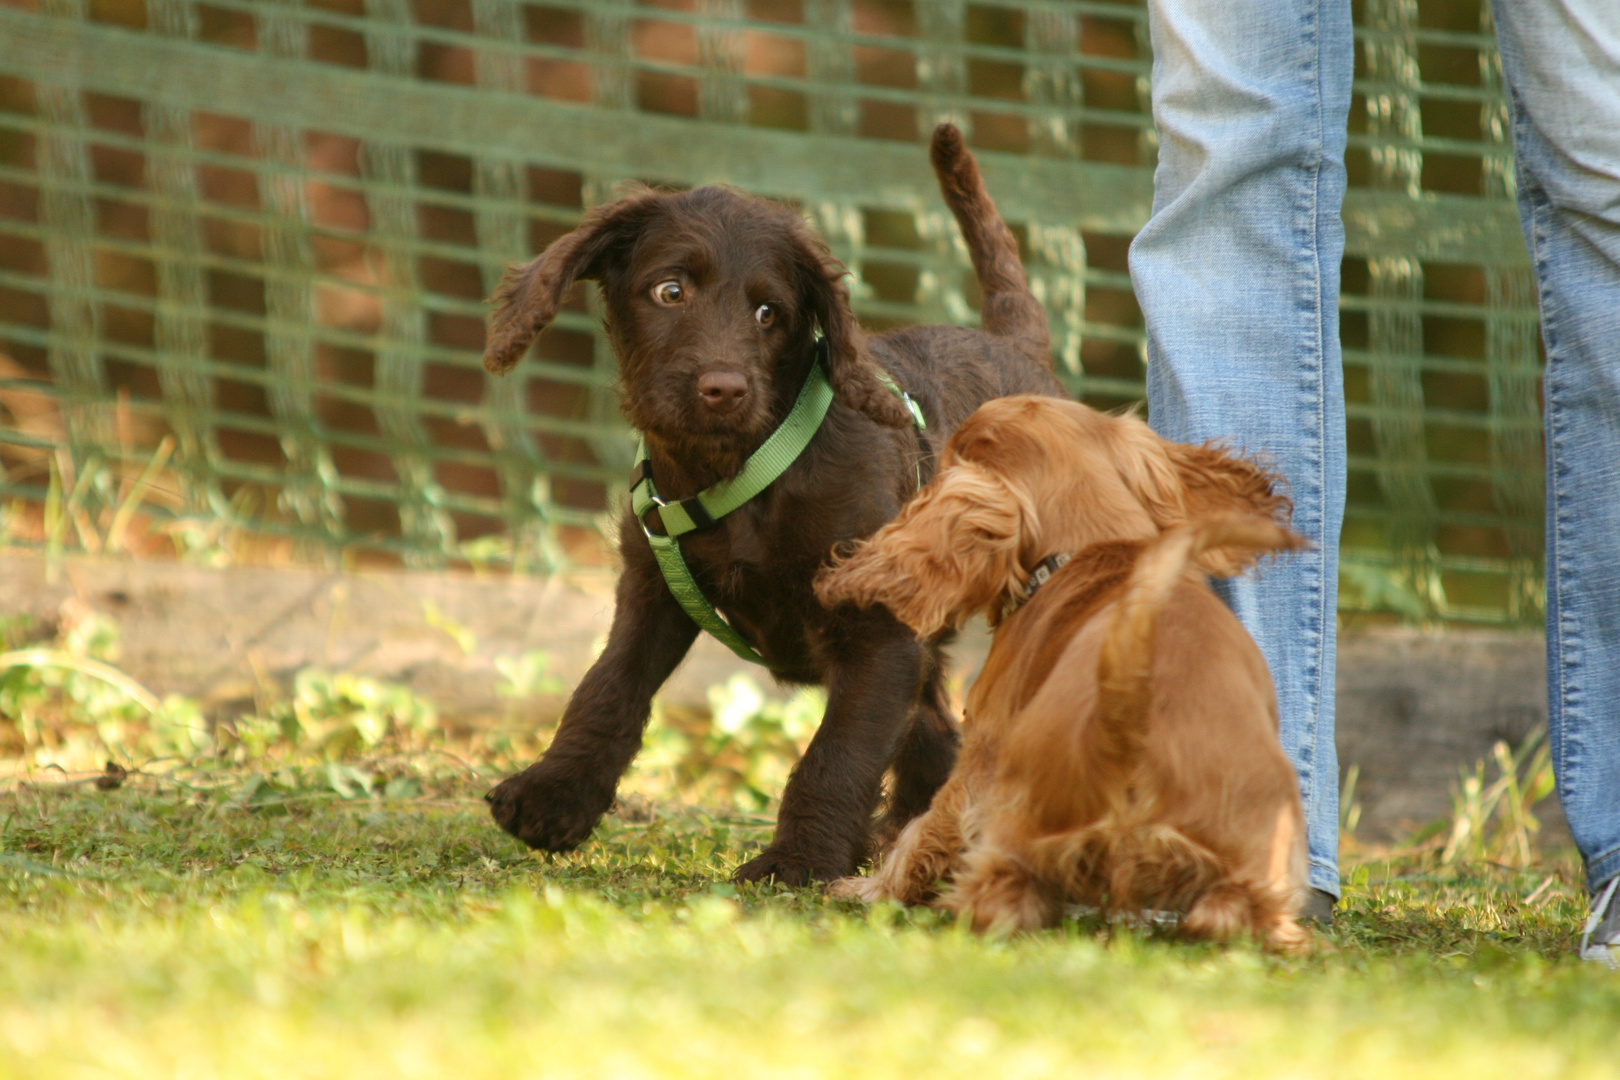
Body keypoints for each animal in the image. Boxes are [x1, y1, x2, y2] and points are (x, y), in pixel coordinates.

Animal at [479, 127, 1062, 887]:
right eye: (670, 291)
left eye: (769, 314)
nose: (723, 388)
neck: (741, 471)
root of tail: (1020, 350)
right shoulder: (654, 593)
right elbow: (605, 691)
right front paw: (553, 795)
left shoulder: (876, 634)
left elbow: (837, 754)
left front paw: (800, 860)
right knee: (935, 730)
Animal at [816, 395, 1308, 945]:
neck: (1095, 548)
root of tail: (1129, 722)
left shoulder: (980, 754)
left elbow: (923, 832)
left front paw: (867, 889)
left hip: (1021, 815)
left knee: (1000, 894)